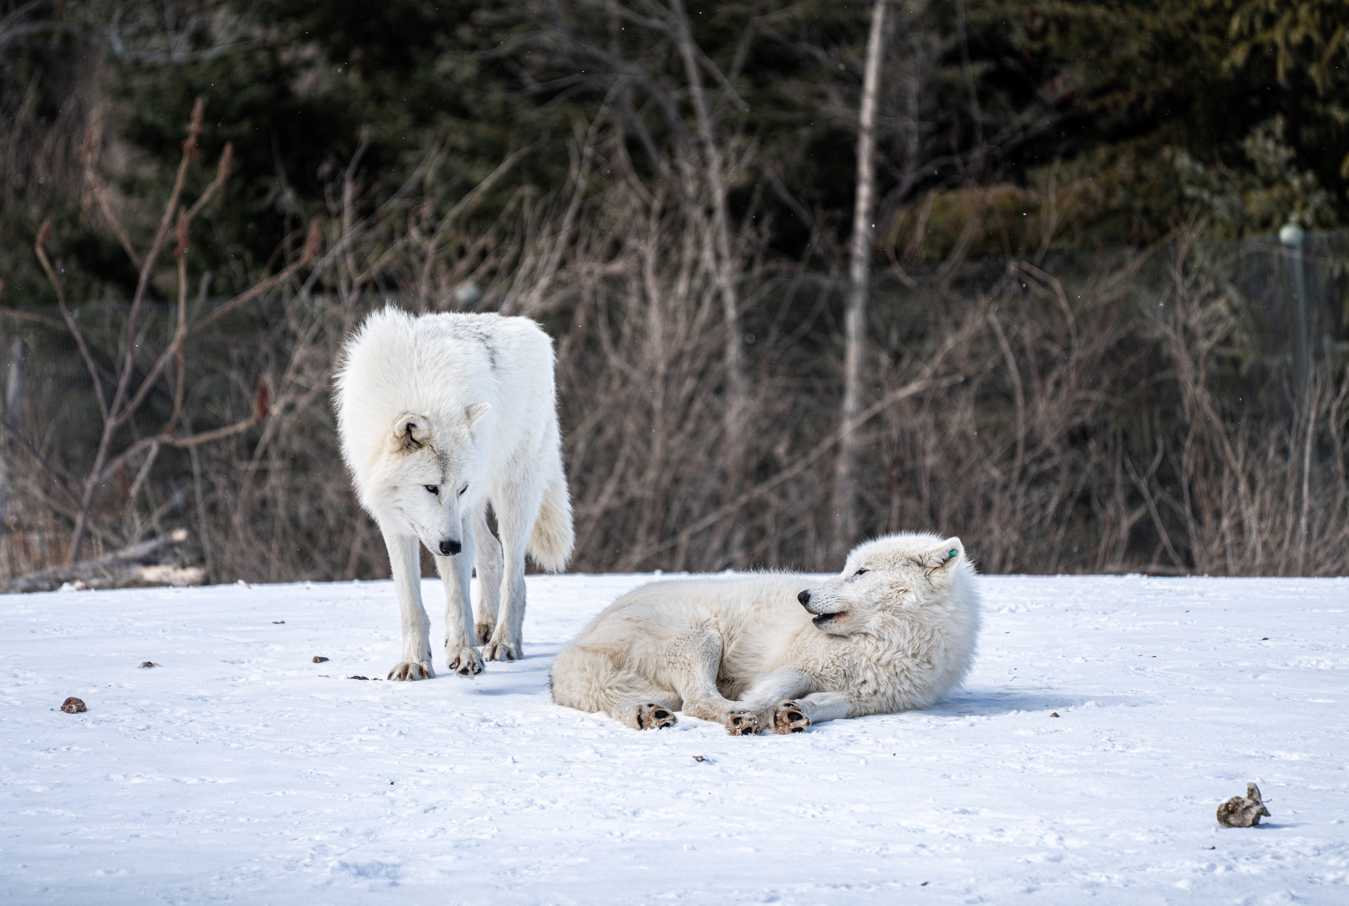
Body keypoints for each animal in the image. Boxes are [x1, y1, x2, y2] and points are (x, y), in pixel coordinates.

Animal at [334, 307, 574, 680]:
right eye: (430, 487)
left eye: (458, 488)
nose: (451, 546)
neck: (418, 386)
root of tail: (531, 327)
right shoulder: (395, 521)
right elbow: (411, 604)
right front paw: (415, 662)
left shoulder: (459, 514)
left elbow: (458, 598)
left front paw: (463, 653)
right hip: (475, 512)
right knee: (491, 551)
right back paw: (485, 627)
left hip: (511, 495)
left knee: (515, 576)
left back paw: (503, 642)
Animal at [550, 532, 979, 733]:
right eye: (847, 569)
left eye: (860, 573)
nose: (803, 596)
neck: (883, 645)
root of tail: (575, 646)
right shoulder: (792, 667)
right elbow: (766, 695)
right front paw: (757, 713)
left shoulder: (866, 700)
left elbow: (827, 704)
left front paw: (795, 714)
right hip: (700, 637)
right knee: (698, 701)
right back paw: (733, 716)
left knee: (634, 702)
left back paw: (648, 715)